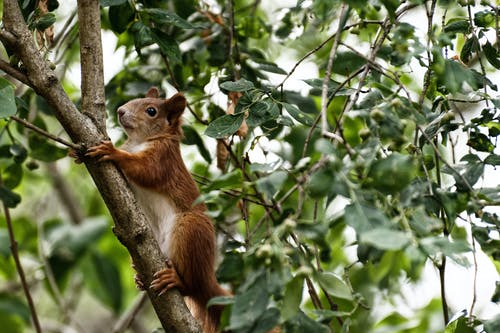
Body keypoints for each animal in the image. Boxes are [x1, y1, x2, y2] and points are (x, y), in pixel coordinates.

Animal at [83, 87, 229, 332]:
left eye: (151, 111)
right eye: (135, 100)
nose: (120, 111)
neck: (139, 141)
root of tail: (208, 278)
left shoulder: (163, 158)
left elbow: (145, 170)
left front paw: (112, 151)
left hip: (190, 230)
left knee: (192, 286)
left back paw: (176, 280)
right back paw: (141, 278)